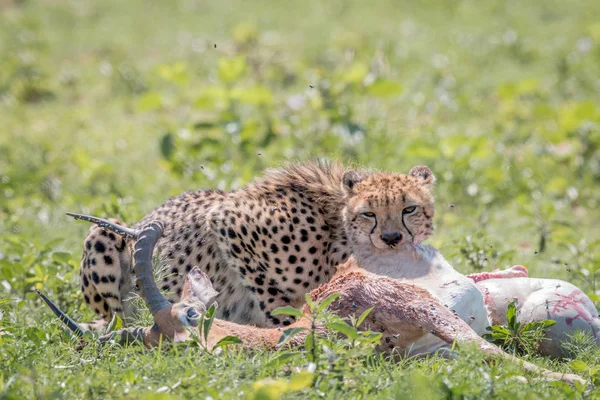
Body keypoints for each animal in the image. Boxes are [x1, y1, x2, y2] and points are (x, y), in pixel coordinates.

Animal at [78, 161, 436, 326]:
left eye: (409, 209)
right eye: (368, 213)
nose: (392, 238)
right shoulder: (228, 220)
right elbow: (271, 296)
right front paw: (288, 329)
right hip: (102, 235)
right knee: (114, 319)